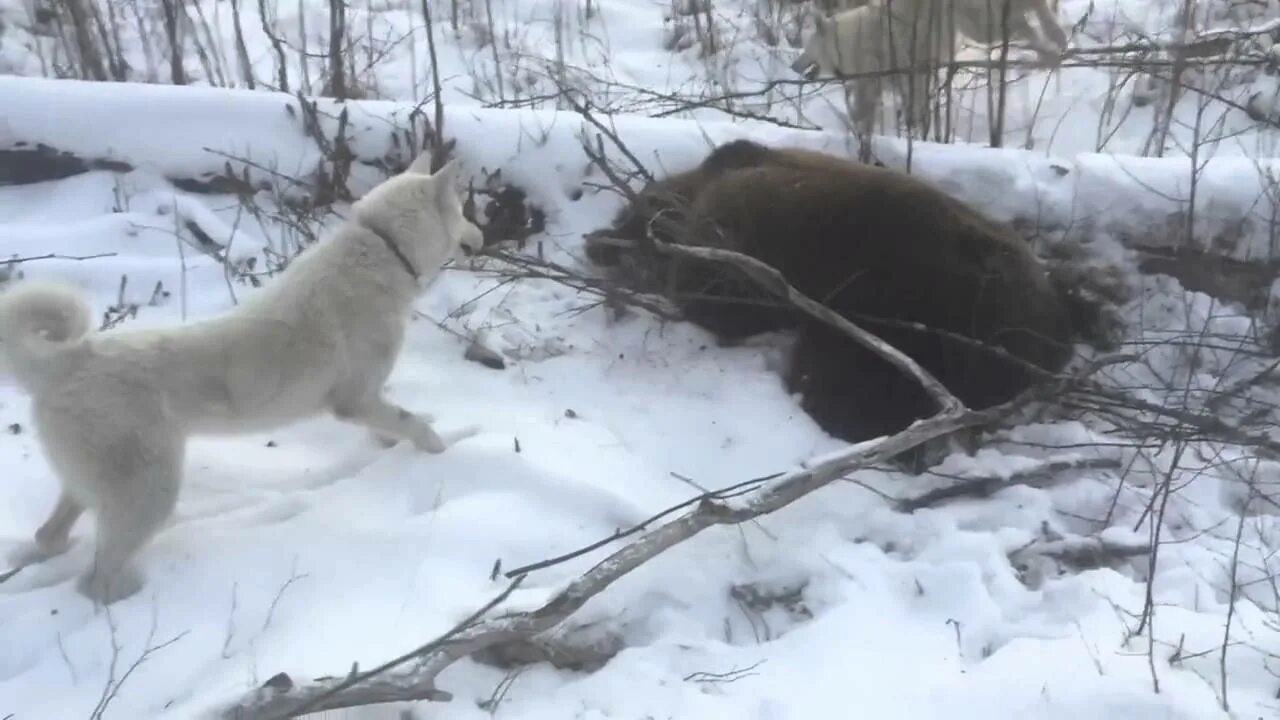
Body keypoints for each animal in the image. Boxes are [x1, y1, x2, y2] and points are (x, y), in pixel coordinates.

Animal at [2, 152, 481, 604]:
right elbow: (413, 424)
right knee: (97, 580)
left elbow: (389, 428)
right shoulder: (356, 398)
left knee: (51, 537)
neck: (381, 248)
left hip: (90, 484)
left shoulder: (368, 402)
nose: (482, 236)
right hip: (148, 491)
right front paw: (439, 451)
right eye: (461, 209)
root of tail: (67, 360)